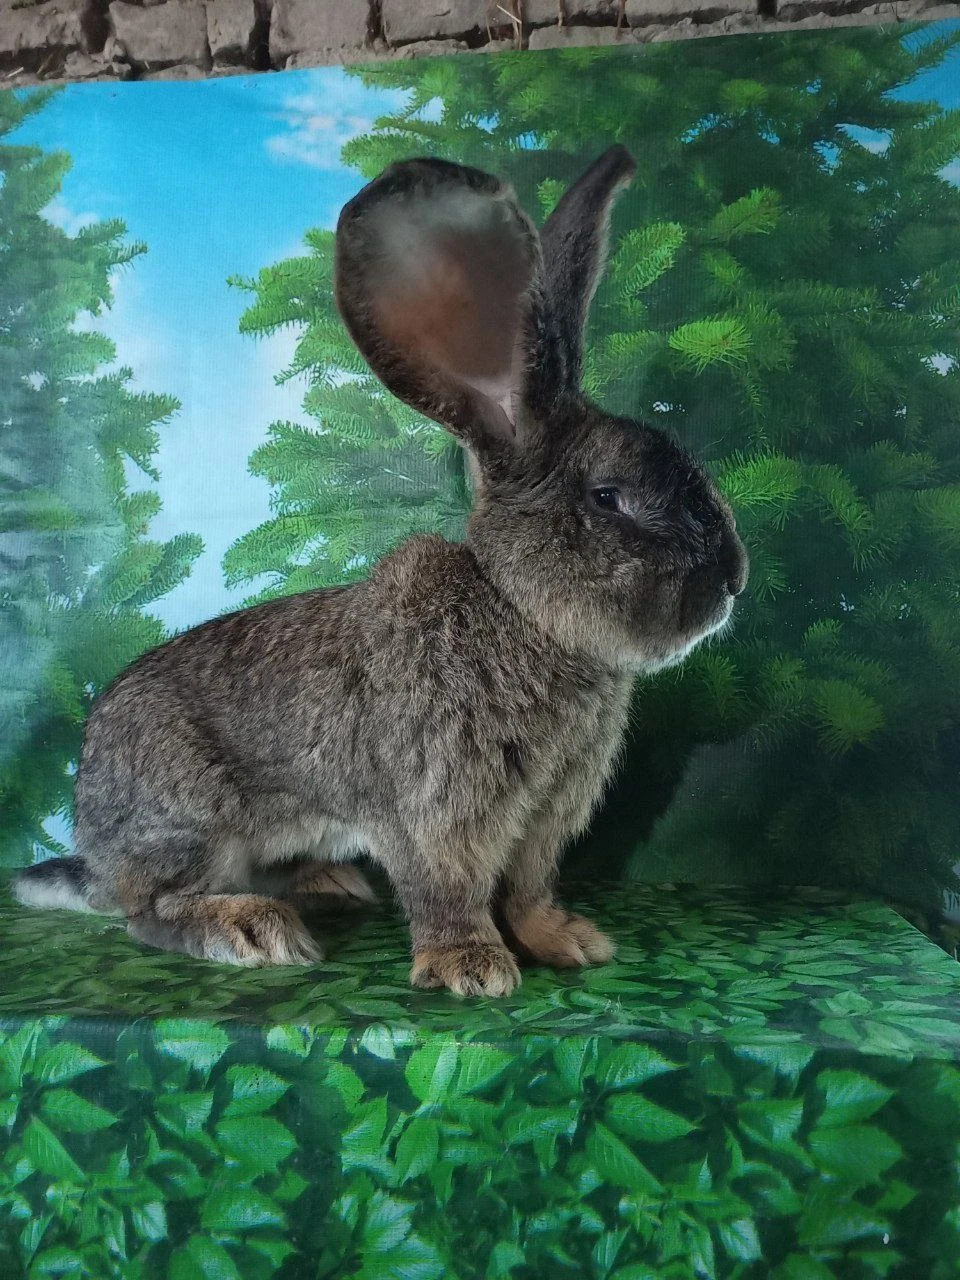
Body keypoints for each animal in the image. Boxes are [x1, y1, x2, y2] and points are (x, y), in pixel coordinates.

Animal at [14, 146, 747, 997]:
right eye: (610, 498)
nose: (735, 577)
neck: (517, 613)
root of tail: (95, 848)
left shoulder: (543, 821)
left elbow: (528, 892)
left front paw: (568, 942)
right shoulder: (435, 809)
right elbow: (448, 889)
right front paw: (472, 967)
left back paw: (330, 885)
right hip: (190, 819)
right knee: (150, 911)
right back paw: (252, 927)